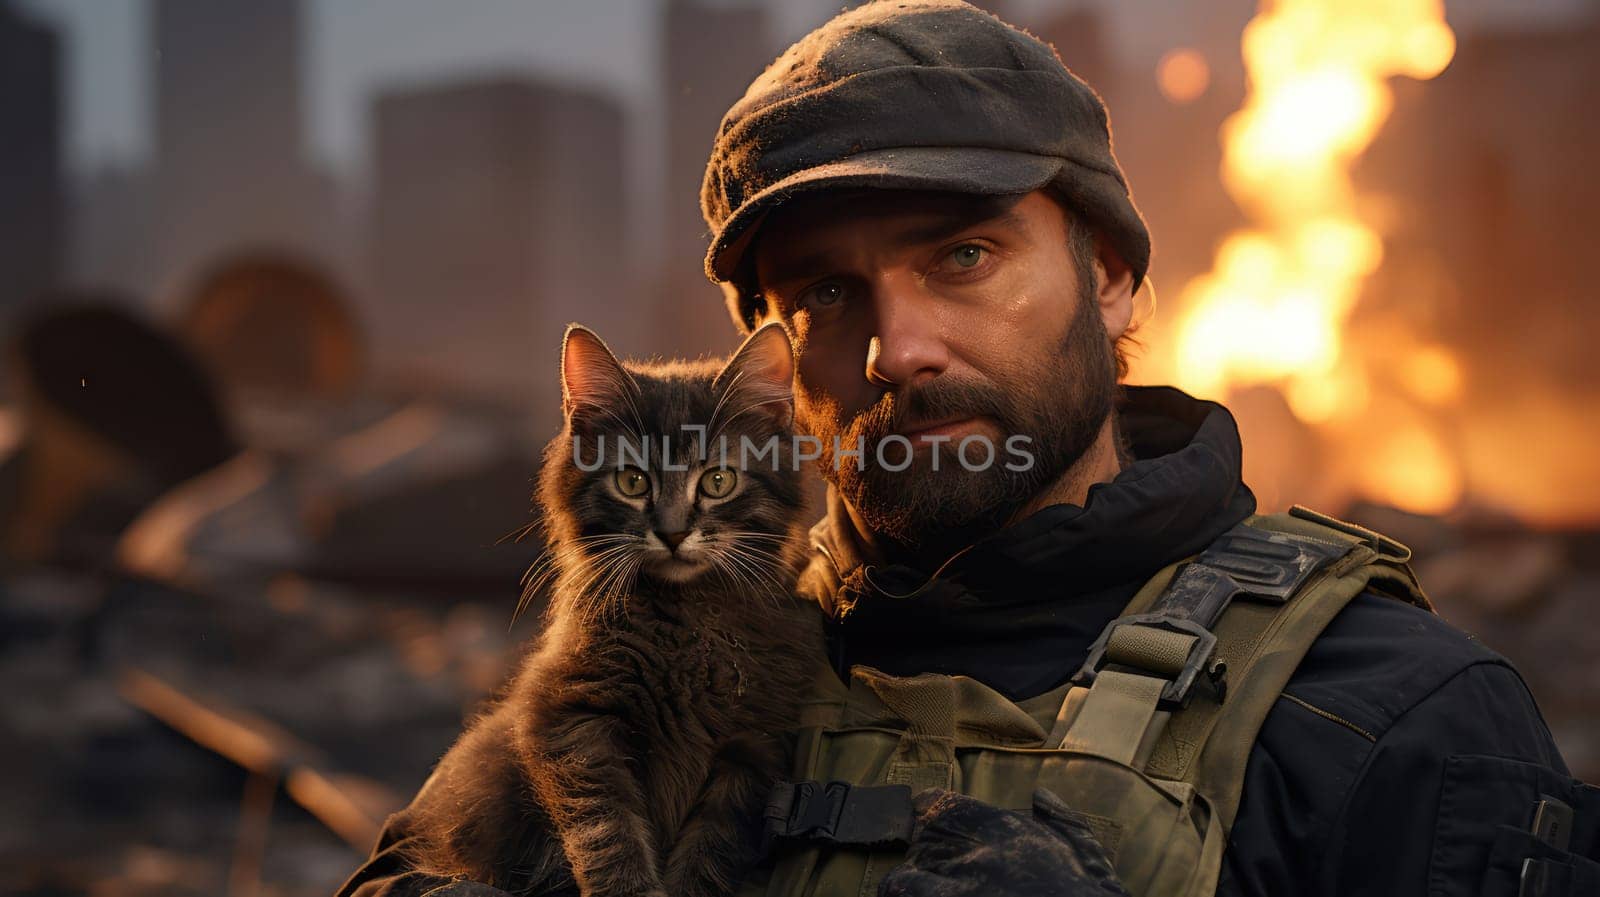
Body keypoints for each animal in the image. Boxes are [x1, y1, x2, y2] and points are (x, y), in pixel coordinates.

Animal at [393, 321, 825, 895]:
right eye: (632, 481)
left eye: (718, 481)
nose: (672, 533)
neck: (683, 622)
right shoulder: (572, 721)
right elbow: (608, 832)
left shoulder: (753, 747)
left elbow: (709, 851)